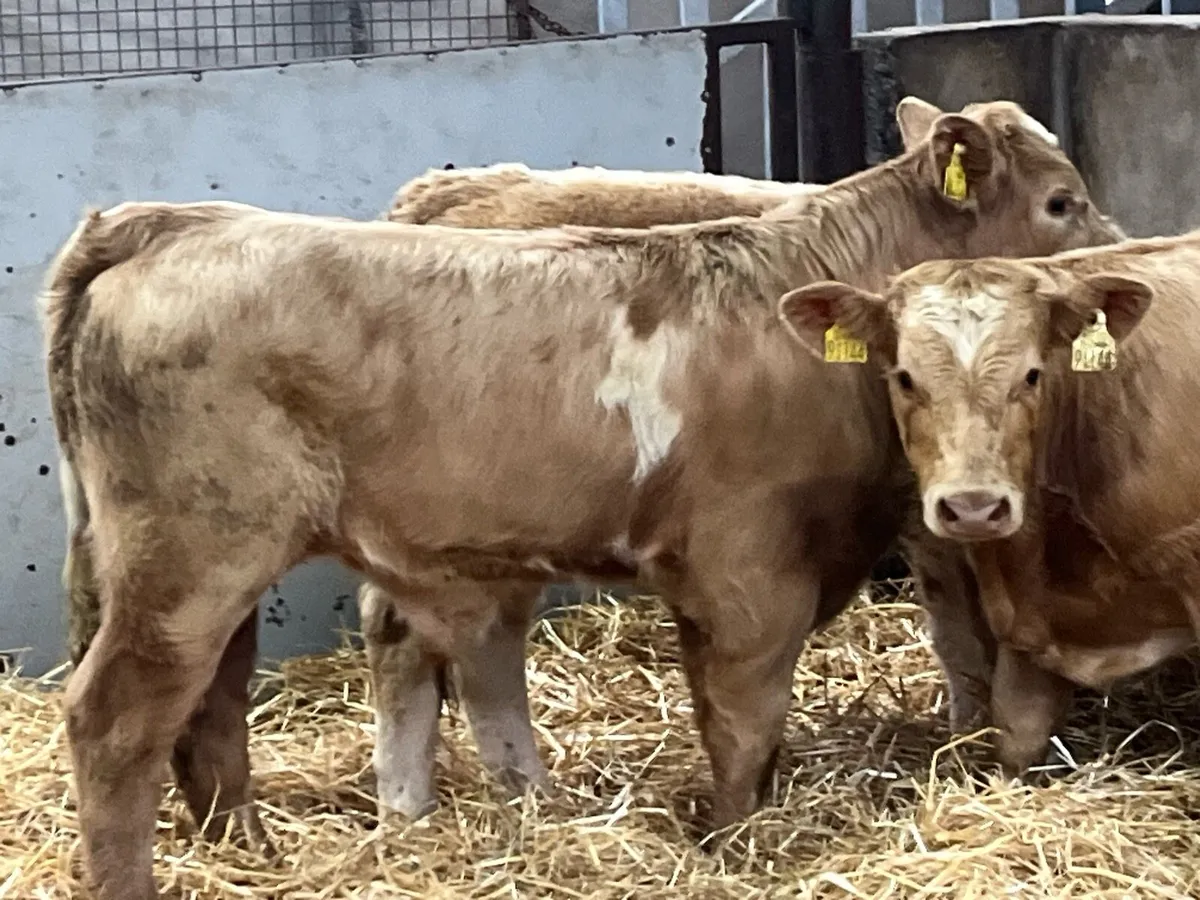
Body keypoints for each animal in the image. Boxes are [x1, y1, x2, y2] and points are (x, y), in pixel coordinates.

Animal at [44, 97, 1122, 899]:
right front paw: (738, 845)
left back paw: (253, 851)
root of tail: (169, 222)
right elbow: (745, 718)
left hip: (209, 564)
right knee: (117, 721)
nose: (1117, 254)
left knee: (215, 707)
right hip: (188, 559)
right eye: (1060, 201)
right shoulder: (751, 570)